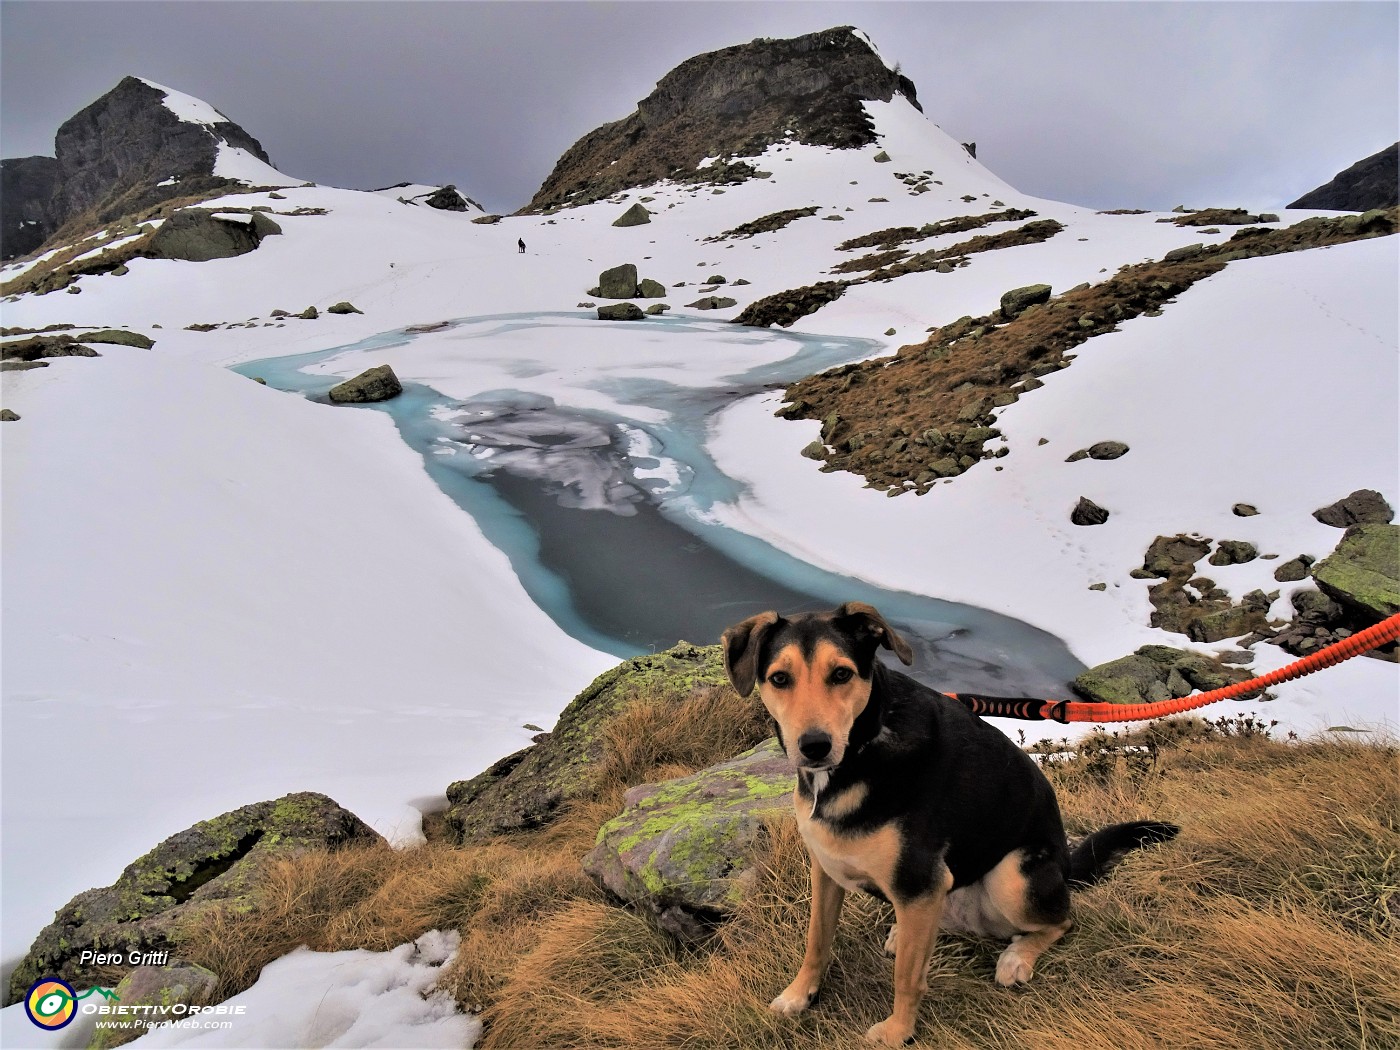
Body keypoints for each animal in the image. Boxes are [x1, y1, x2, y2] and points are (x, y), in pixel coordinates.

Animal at [728, 604, 1176, 1047]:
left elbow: (907, 978)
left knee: (1062, 920)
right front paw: (798, 995)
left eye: (841, 674)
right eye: (779, 679)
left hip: (1012, 877)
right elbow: (816, 941)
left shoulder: (917, 878)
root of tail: (1065, 865)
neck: (862, 749)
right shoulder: (826, 870)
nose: (814, 747)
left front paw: (898, 1032)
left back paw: (1016, 957)